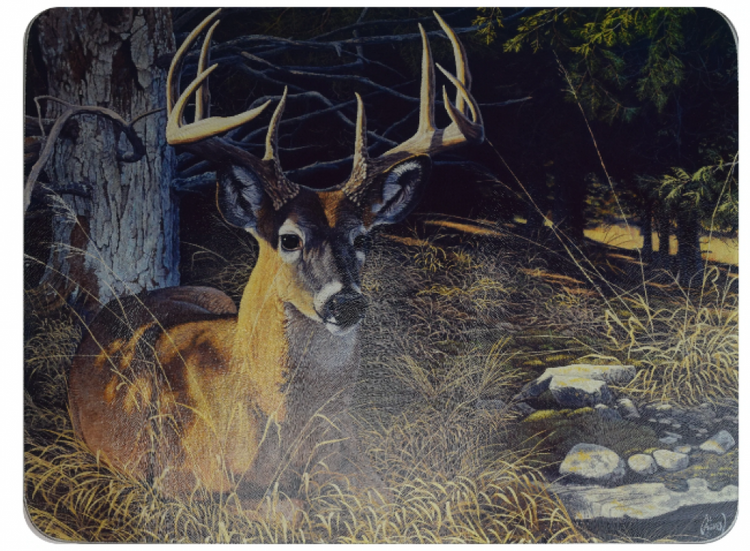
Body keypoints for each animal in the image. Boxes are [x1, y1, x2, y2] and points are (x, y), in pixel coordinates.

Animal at [68, 9, 483, 509]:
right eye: (288, 239)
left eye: (363, 238)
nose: (345, 301)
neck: (286, 426)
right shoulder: (182, 483)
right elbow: (290, 511)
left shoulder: (357, 461)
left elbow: (390, 502)